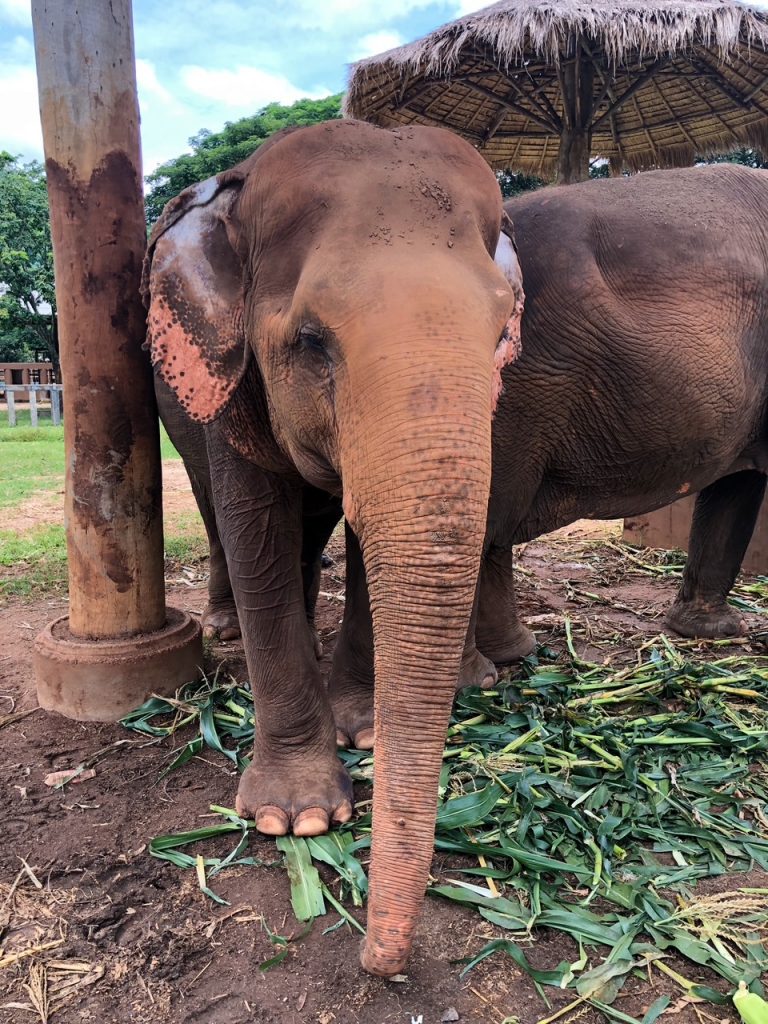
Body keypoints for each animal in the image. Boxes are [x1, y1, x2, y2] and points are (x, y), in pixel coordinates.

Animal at [142, 119, 522, 977]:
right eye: (312, 341)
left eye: (500, 334)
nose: (381, 964)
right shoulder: (233, 381)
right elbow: (254, 528)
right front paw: (298, 820)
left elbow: (356, 530)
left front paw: (365, 731)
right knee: (217, 515)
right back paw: (225, 627)